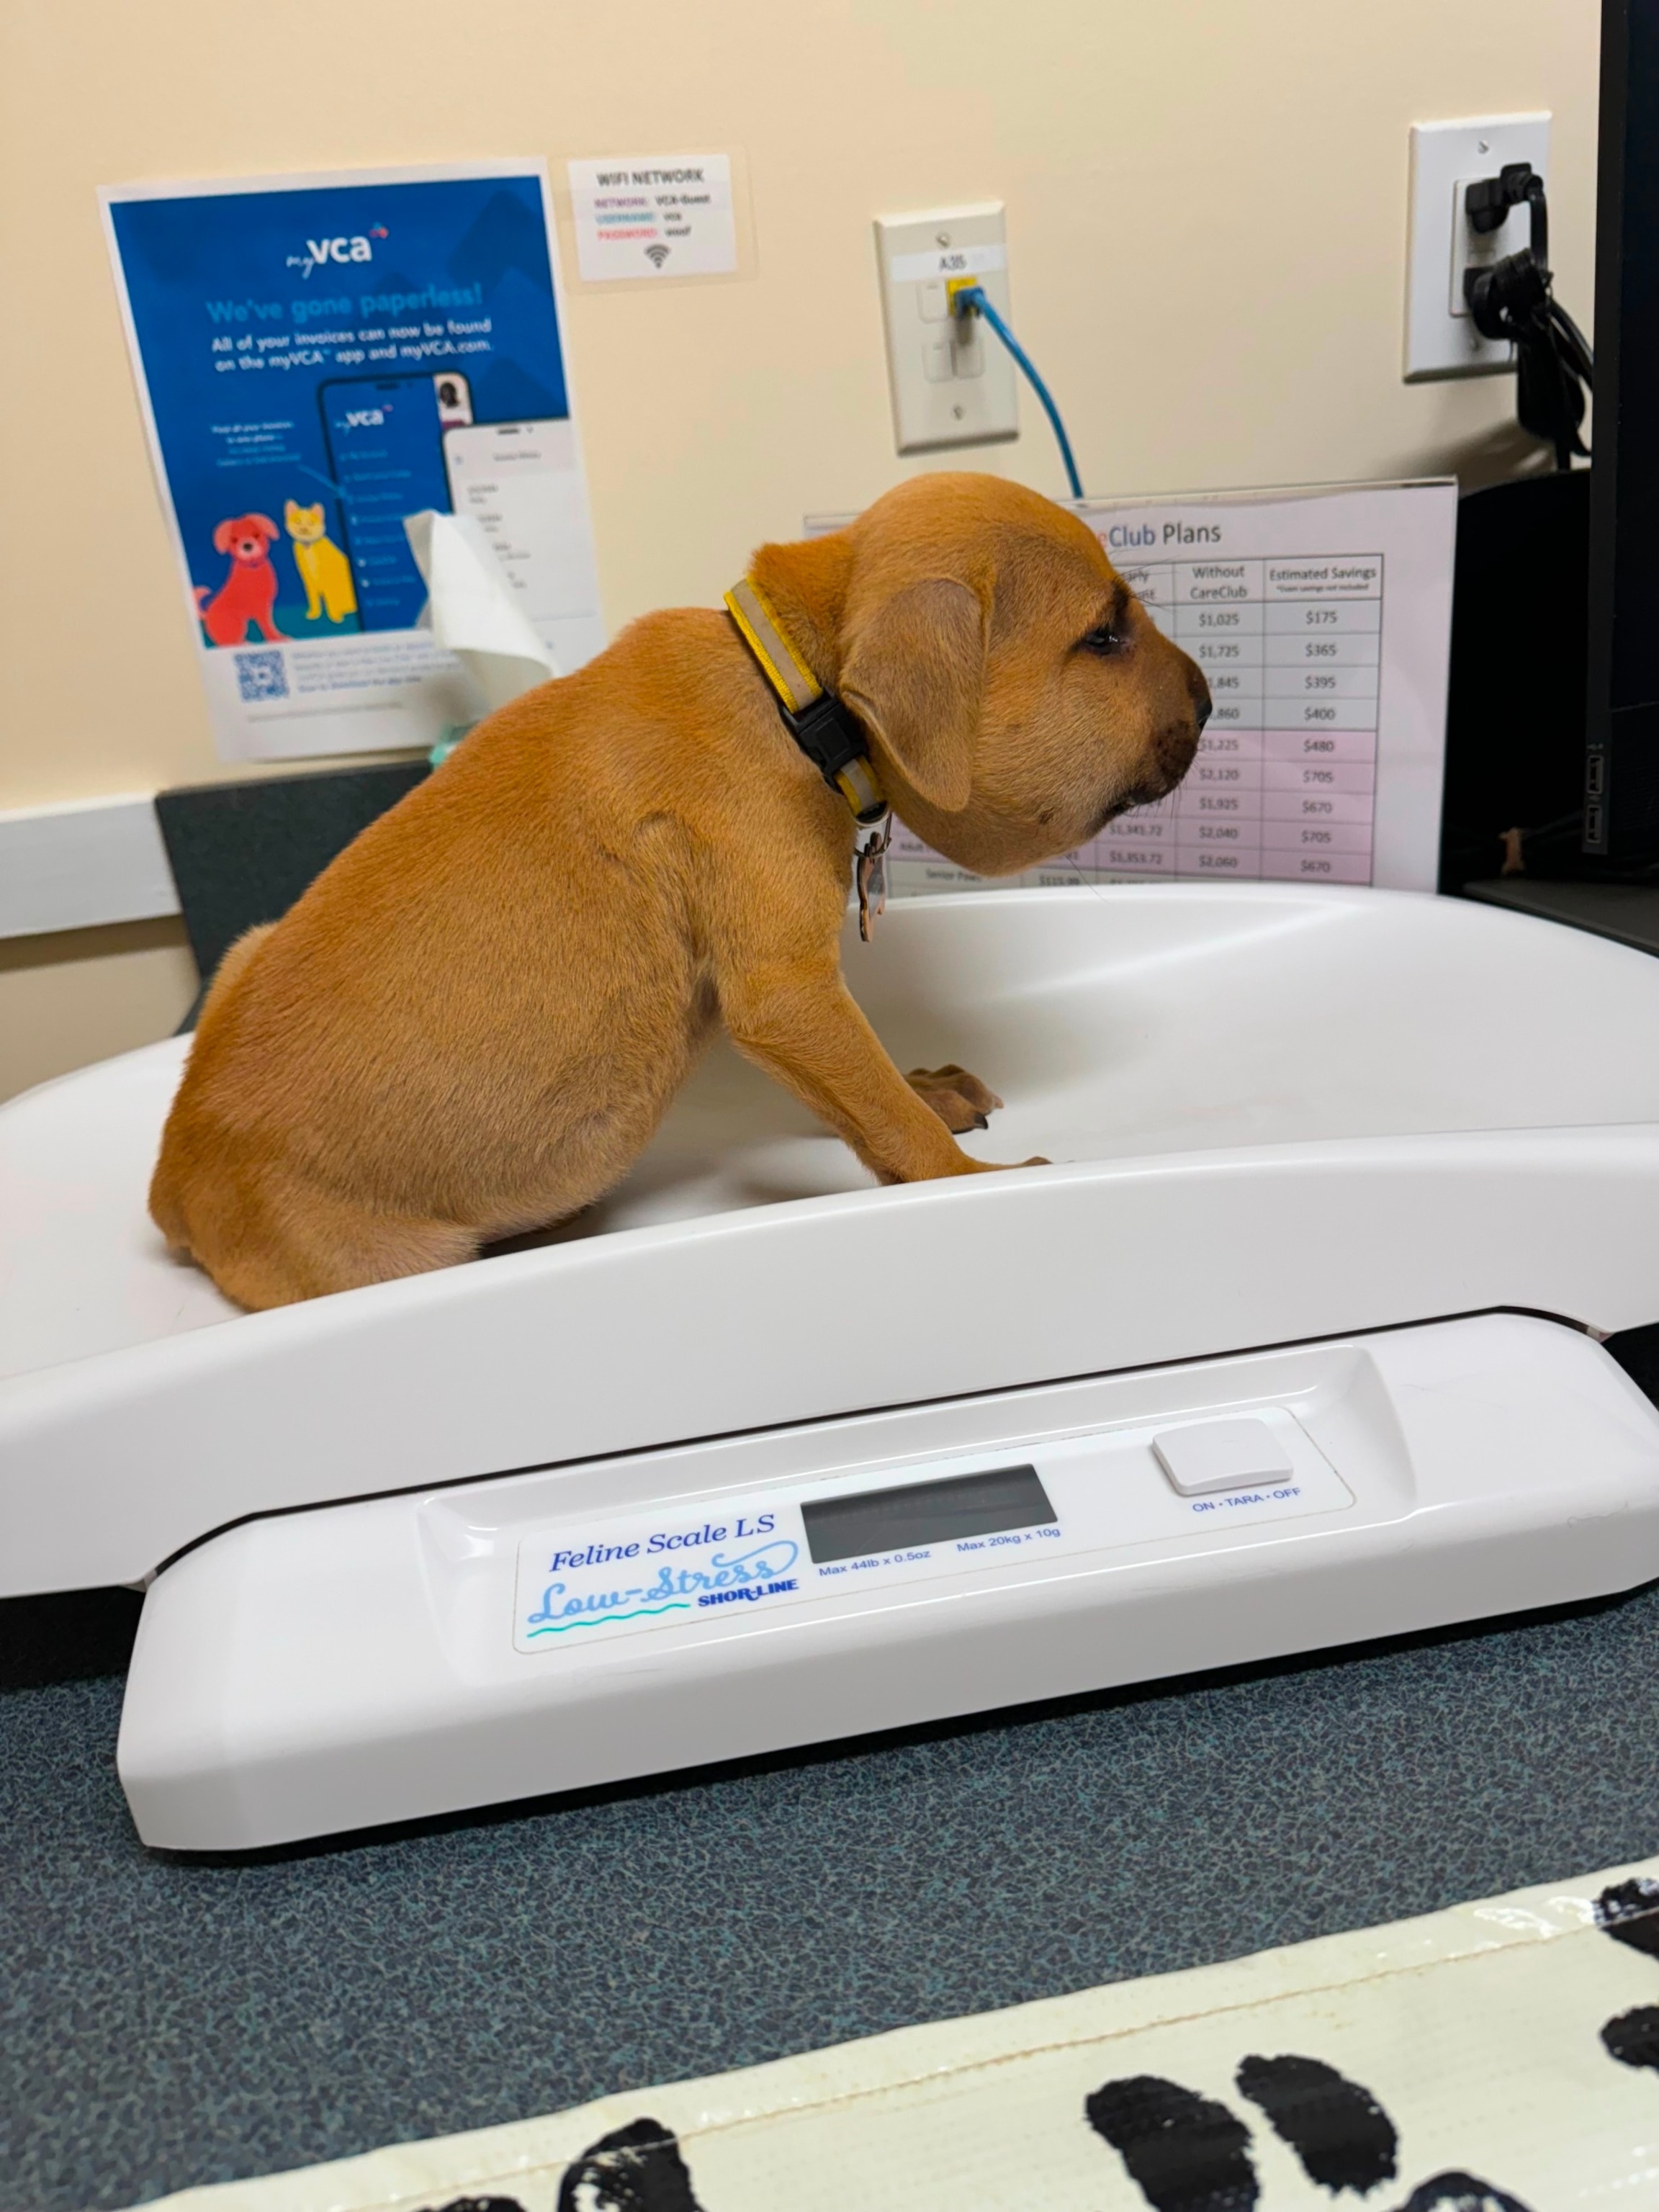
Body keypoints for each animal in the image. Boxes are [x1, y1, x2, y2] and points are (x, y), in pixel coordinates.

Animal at [152, 471, 1212, 1292]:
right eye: (1104, 636)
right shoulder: (784, 991)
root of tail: (176, 1182)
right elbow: (883, 1114)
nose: (1209, 697)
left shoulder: (796, 1016)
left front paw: (925, 1091)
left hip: (246, 947)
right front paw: (969, 1176)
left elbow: (861, 1092)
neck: (791, 691)